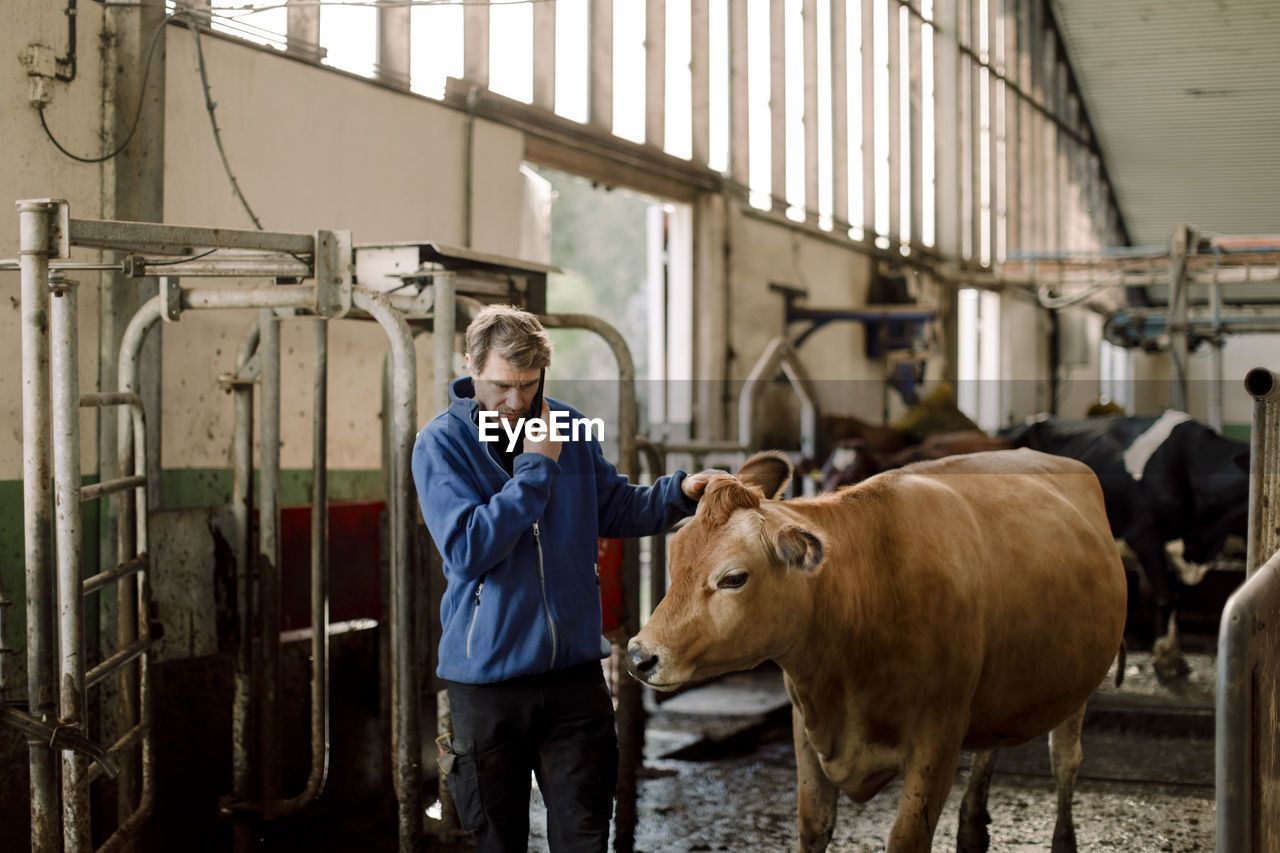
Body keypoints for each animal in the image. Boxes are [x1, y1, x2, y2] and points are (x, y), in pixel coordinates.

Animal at [624, 448, 1126, 845]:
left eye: (733, 578)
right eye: (673, 558)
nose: (639, 656)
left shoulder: (938, 736)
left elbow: (906, 836)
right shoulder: (805, 724)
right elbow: (813, 824)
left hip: (1076, 687)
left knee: (1065, 761)